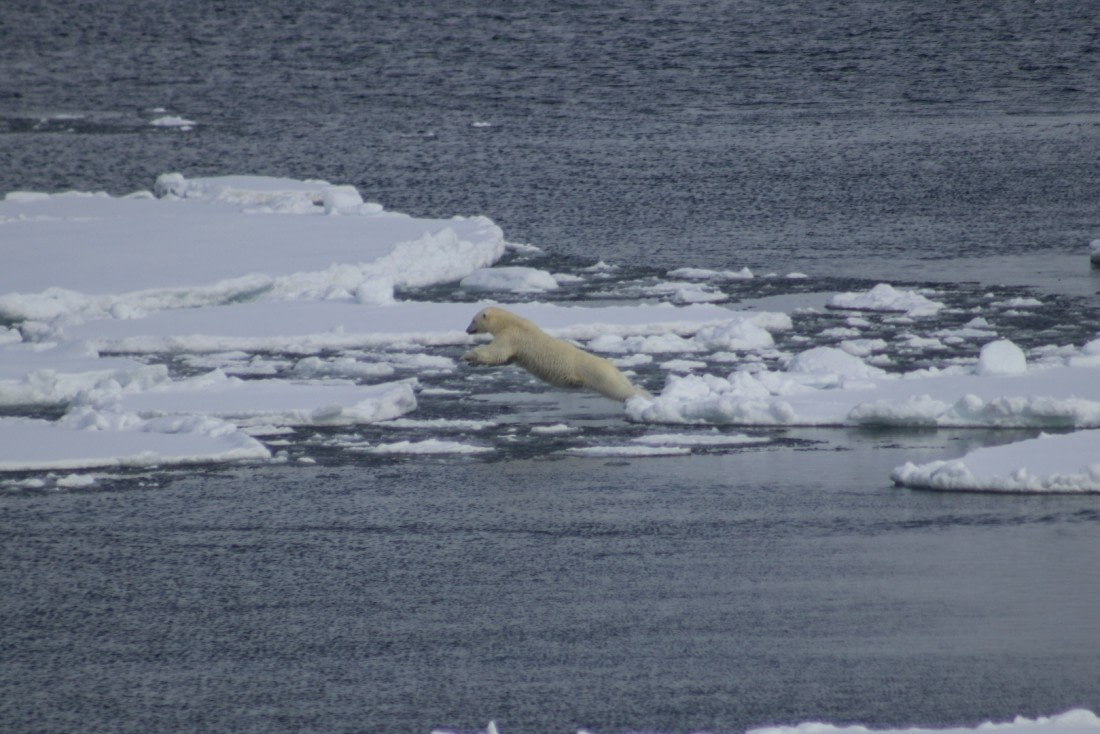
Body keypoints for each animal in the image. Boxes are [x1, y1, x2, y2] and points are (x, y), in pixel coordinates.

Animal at [461, 306, 651, 402]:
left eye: (473, 320)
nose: (467, 330)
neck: (510, 322)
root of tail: (612, 367)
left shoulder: (513, 336)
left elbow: (496, 352)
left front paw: (468, 356)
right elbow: (504, 359)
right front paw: (473, 361)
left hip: (598, 375)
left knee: (619, 389)